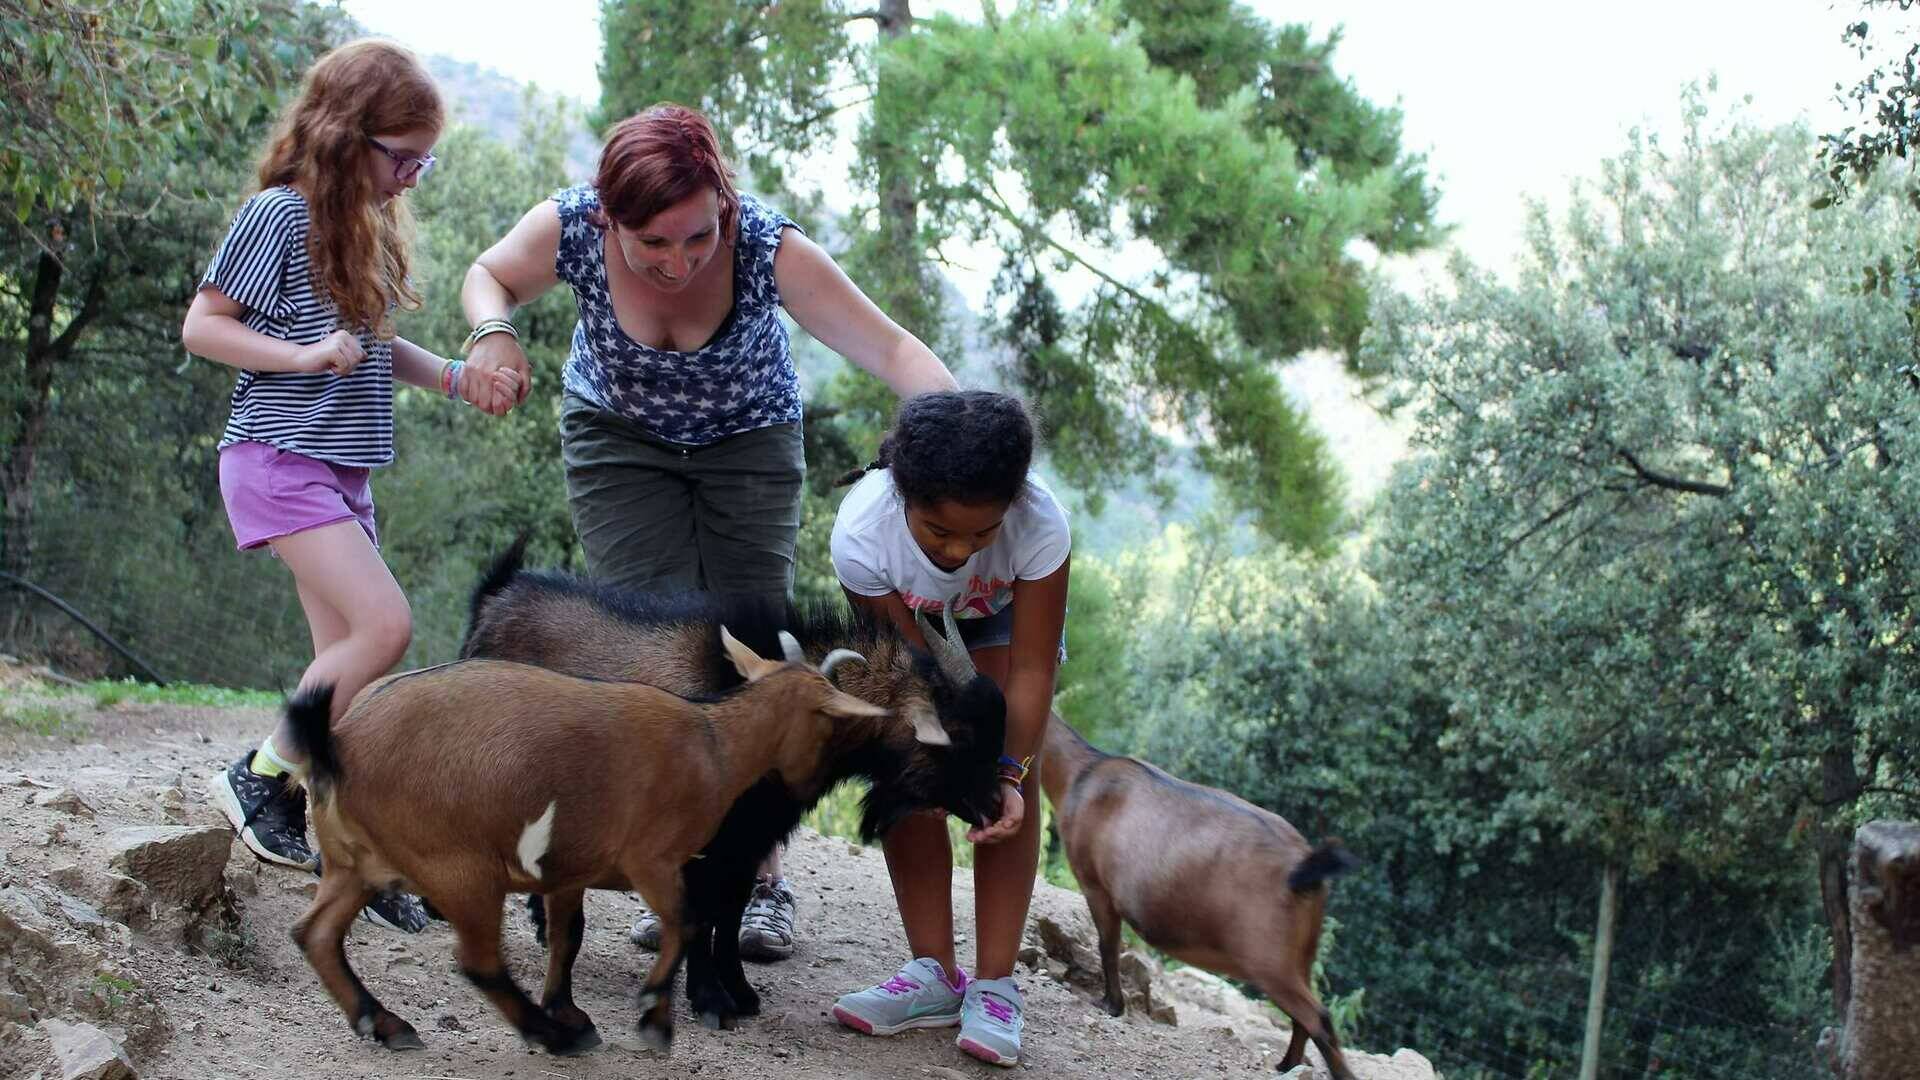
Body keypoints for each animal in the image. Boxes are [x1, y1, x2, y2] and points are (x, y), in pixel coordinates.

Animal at [282, 626, 929, 1053]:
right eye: (828, 725)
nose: (807, 783)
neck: (714, 742)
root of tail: (337, 745)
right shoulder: (654, 860)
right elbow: (684, 924)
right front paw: (652, 1018)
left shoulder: (568, 868)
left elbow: (567, 938)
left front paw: (570, 1011)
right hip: (458, 869)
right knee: (479, 962)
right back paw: (544, 1036)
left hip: (355, 864)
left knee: (316, 935)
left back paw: (386, 1024)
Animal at [462, 538, 1013, 1022]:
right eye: (959, 734)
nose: (996, 808)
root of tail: (499, 592)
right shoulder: (708, 837)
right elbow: (705, 911)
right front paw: (710, 999)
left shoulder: (752, 834)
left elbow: (729, 912)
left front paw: (740, 993)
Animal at [1044, 711, 1359, 1068]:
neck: (1079, 774)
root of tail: (1303, 867)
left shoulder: (1095, 885)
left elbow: (1108, 947)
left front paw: (1111, 1004)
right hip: (1302, 955)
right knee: (1305, 1018)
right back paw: (1284, 1065)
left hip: (1269, 960)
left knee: (1319, 1018)